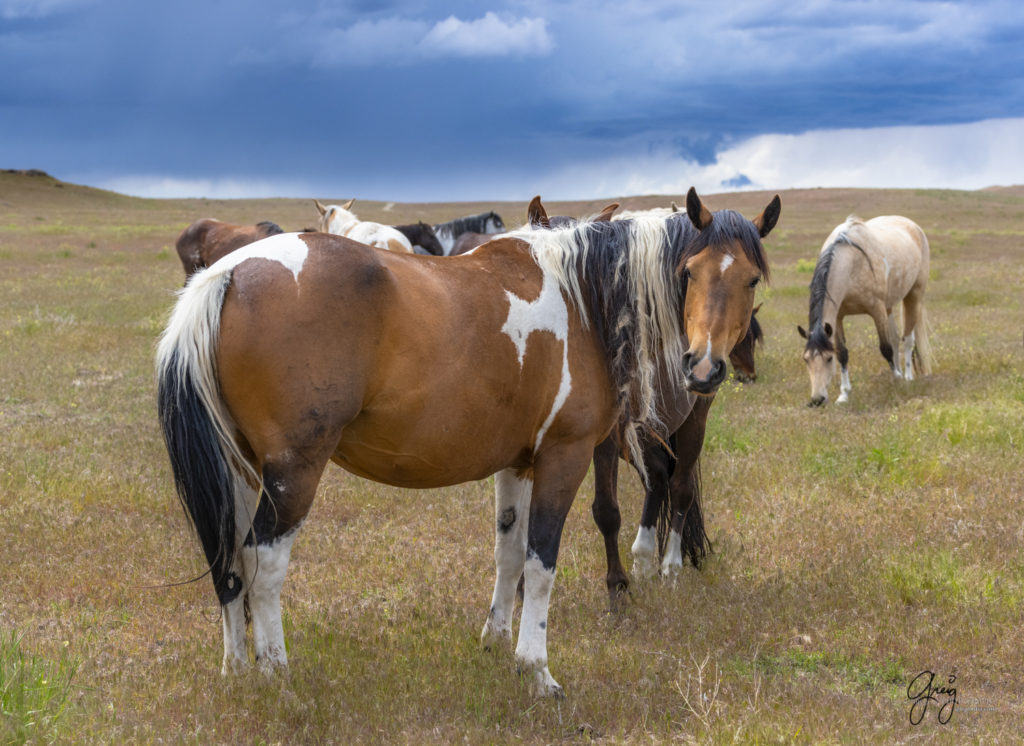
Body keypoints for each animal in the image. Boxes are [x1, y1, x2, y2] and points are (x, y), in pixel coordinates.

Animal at [155, 187, 770, 699]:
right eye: (690, 271)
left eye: (752, 279)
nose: (706, 367)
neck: (582, 294)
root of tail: (228, 274)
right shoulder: (564, 457)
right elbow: (542, 563)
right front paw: (536, 670)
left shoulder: (518, 464)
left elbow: (509, 554)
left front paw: (495, 642)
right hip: (293, 473)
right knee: (262, 562)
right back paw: (275, 674)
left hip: (240, 467)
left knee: (229, 559)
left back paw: (238, 669)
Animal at [794, 212, 933, 405]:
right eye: (806, 359)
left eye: (828, 359)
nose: (817, 400)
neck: (852, 262)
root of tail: (913, 226)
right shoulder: (838, 317)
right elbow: (843, 353)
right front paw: (844, 394)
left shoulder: (877, 310)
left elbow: (885, 348)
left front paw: (897, 379)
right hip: (890, 306)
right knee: (896, 338)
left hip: (913, 296)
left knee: (907, 339)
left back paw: (907, 377)